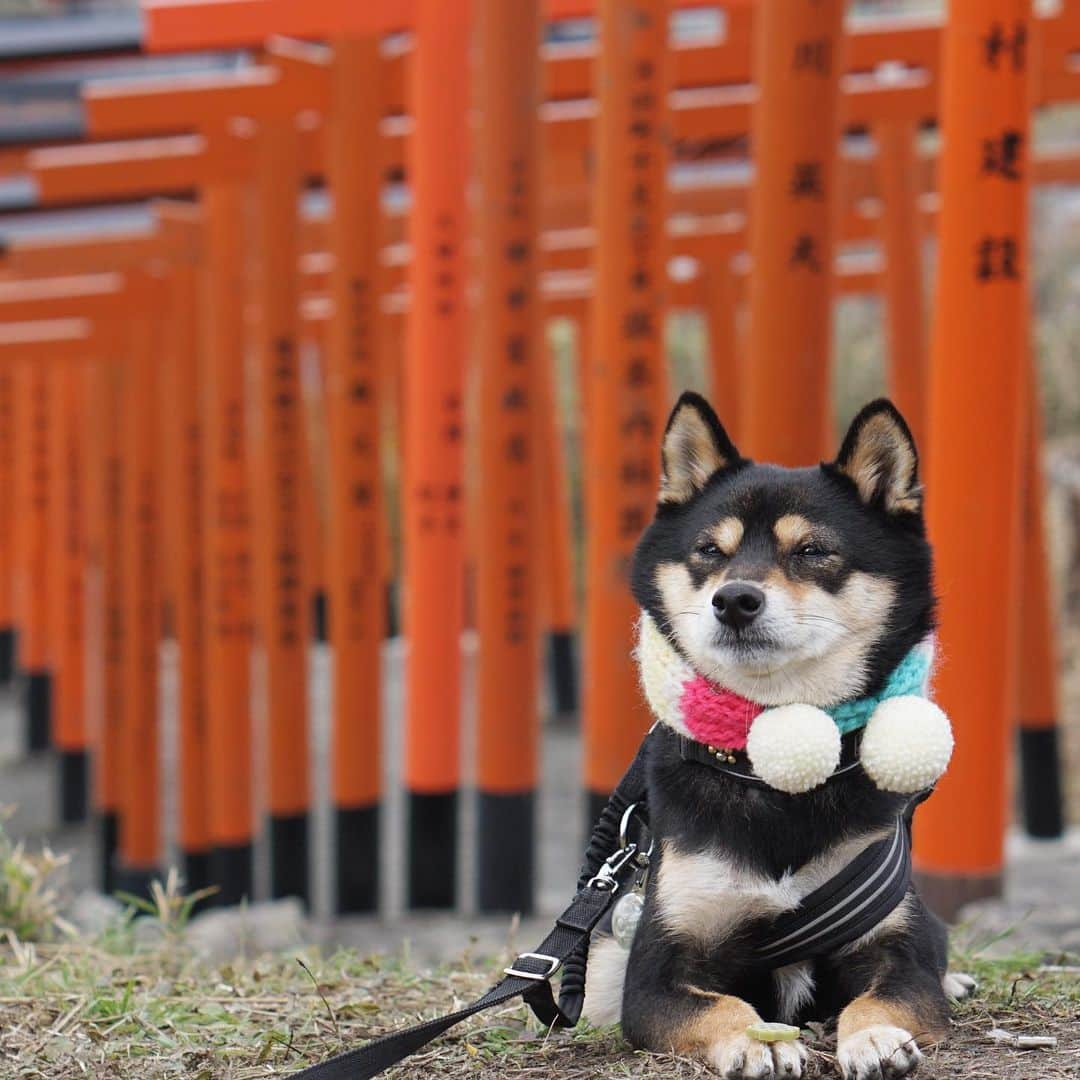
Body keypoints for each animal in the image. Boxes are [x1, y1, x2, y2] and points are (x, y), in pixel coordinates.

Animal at [587, 397, 976, 1080]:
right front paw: (754, 1040)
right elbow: (719, 1006)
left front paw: (875, 1037)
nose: (734, 599)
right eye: (709, 550)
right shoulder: (660, 968)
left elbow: (887, 995)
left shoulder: (893, 943)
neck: (768, 770)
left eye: (813, 550)